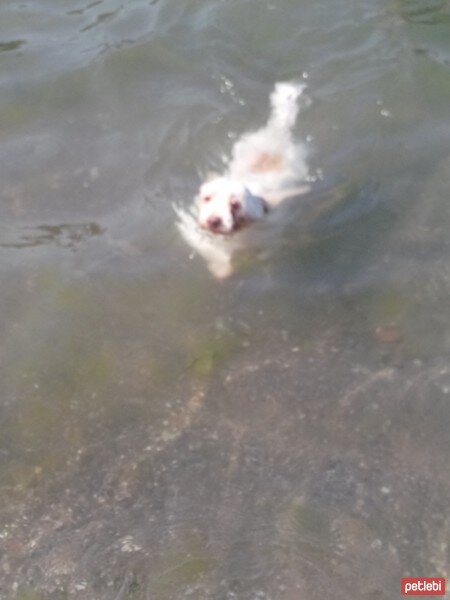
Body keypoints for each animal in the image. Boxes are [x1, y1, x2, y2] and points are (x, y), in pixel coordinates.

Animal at [175, 82, 310, 278]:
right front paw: (220, 265)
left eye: (235, 205)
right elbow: (210, 249)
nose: (214, 220)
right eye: (207, 198)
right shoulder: (194, 231)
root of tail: (277, 134)